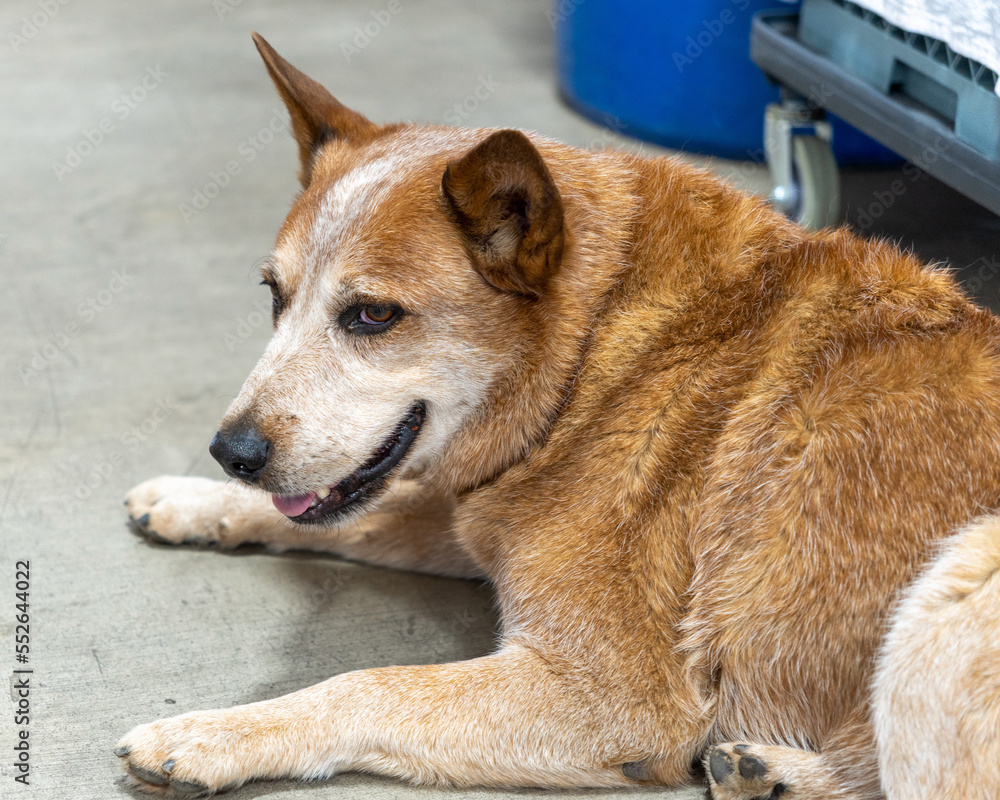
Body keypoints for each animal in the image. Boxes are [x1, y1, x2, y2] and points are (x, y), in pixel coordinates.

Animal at [117, 32, 1000, 800]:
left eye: (372, 315)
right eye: (275, 295)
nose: (230, 450)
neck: (589, 351)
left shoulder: (612, 696)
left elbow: (366, 685)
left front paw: (209, 735)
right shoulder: (476, 522)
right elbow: (354, 517)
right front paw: (193, 500)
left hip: (952, 579)